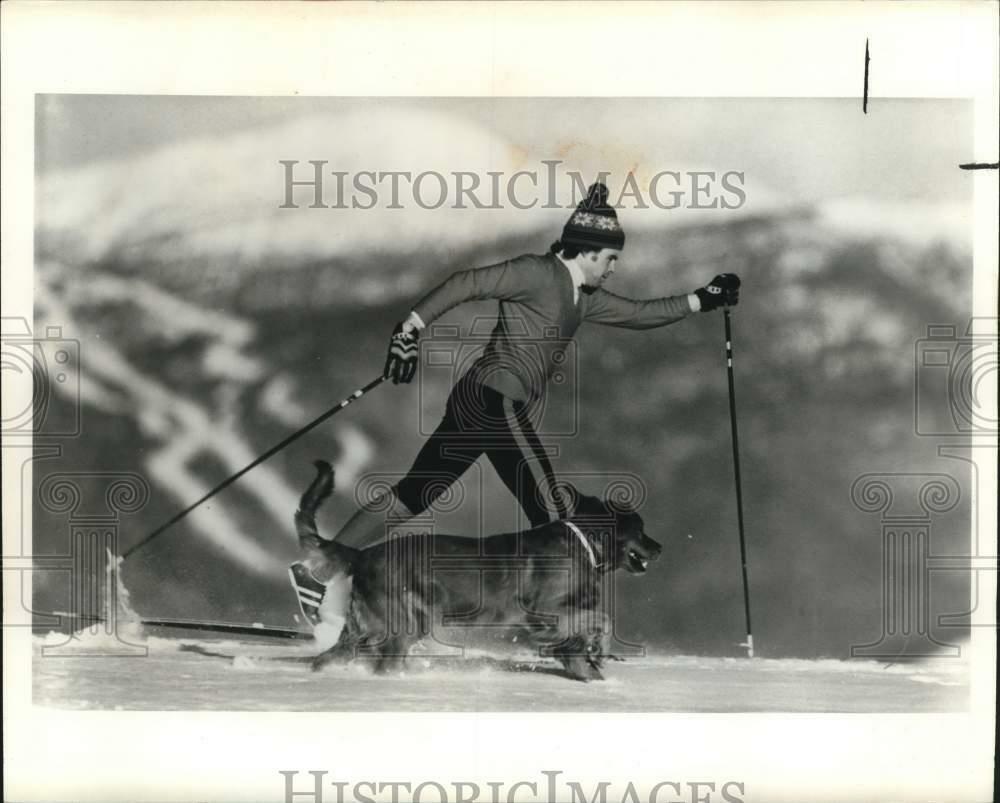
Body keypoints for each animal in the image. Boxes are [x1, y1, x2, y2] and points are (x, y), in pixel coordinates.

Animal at [292, 462, 660, 680]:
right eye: (641, 530)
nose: (659, 547)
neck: (583, 541)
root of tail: (363, 554)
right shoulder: (543, 611)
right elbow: (601, 619)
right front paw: (598, 650)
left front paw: (590, 664)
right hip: (403, 622)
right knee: (385, 663)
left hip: (381, 625)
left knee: (331, 656)